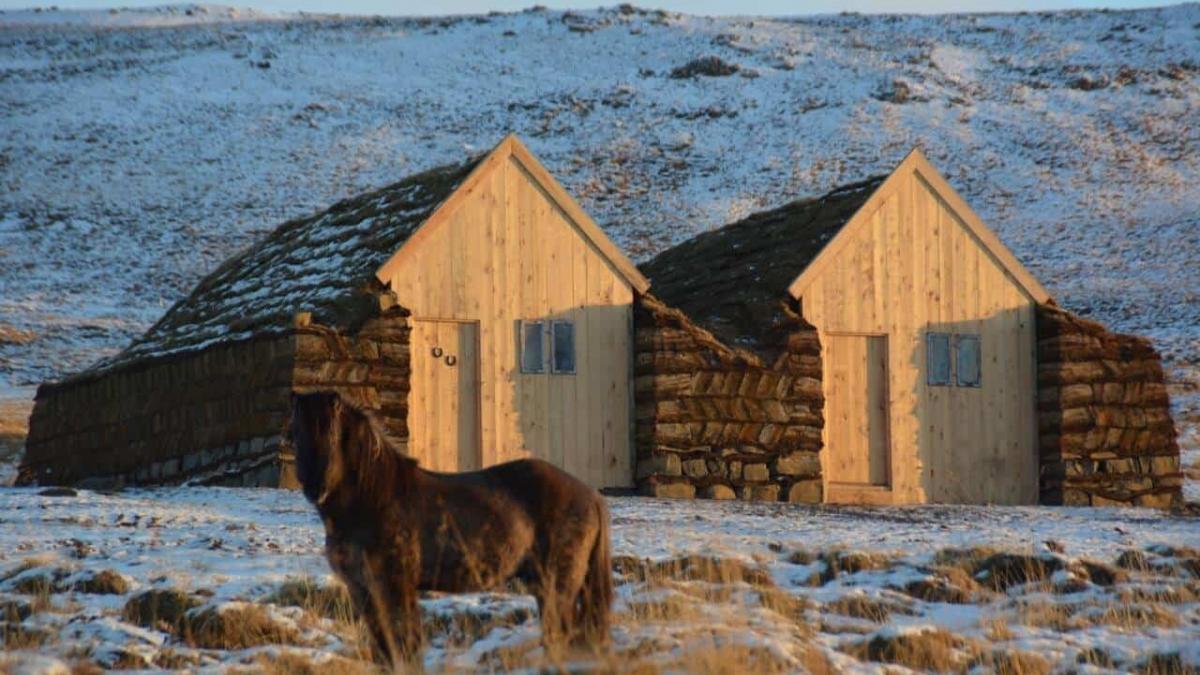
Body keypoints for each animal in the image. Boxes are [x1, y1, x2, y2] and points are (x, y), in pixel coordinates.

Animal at [288, 391, 609, 662]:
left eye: (332, 435)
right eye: (296, 436)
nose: (316, 488)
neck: (374, 499)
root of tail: (591, 495)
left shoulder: (395, 587)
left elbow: (406, 647)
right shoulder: (363, 592)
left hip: (558, 586)